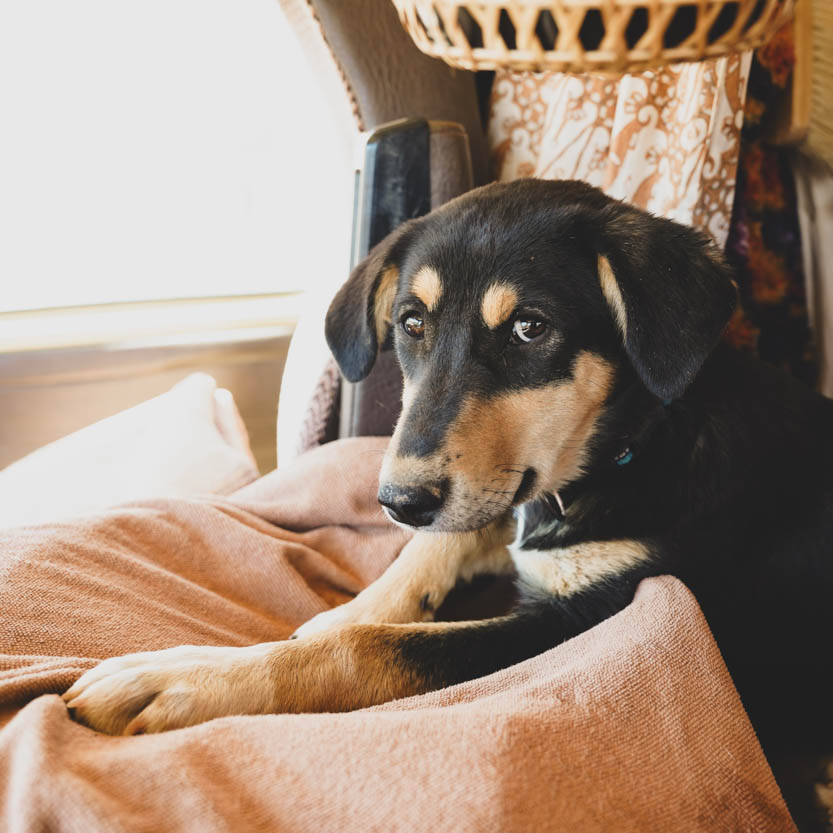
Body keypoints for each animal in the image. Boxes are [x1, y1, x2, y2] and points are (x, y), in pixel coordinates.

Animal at [63, 179, 832, 772]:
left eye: (530, 327)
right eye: (411, 323)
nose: (397, 500)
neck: (628, 450)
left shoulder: (595, 617)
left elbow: (368, 648)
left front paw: (182, 676)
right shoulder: (489, 502)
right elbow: (423, 557)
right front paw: (328, 616)